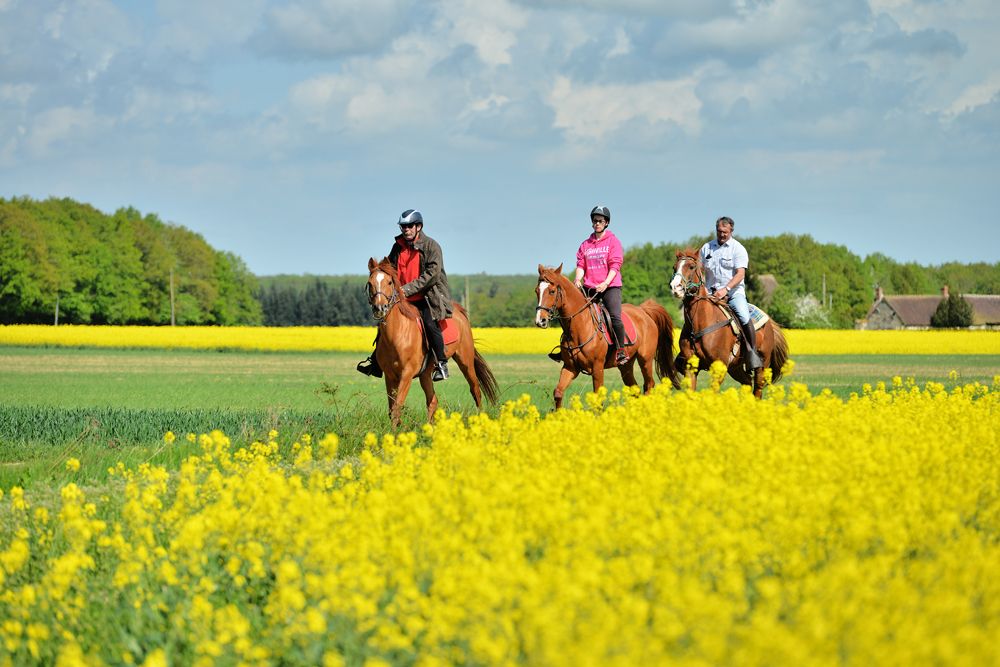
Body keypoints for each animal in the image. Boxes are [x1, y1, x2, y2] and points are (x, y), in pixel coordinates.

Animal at [366, 258, 498, 426]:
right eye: (370, 283)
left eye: (389, 282)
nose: (379, 308)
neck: (397, 334)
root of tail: (458, 311)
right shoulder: (390, 376)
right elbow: (392, 409)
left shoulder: (406, 374)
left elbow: (396, 408)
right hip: (426, 374)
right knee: (433, 400)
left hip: (465, 362)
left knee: (475, 390)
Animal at [540, 264, 680, 410]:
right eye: (536, 291)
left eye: (552, 291)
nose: (541, 320)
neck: (580, 327)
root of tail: (643, 311)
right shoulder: (570, 367)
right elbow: (558, 392)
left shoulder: (597, 367)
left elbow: (597, 398)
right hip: (626, 365)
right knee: (635, 389)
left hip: (645, 360)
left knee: (649, 385)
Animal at [672, 249, 788, 396]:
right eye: (674, 267)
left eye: (691, 267)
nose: (675, 287)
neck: (699, 324)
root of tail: (769, 323)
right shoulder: (691, 367)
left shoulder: (719, 367)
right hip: (736, 367)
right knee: (747, 383)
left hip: (763, 365)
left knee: (757, 389)